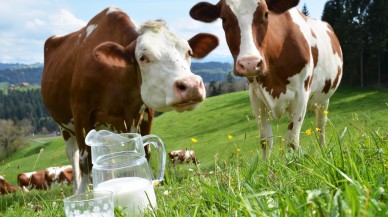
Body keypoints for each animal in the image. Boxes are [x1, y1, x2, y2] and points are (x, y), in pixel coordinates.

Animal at [42, 6, 218, 194]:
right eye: (142, 57)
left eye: (189, 52)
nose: (191, 85)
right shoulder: (81, 112)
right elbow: (85, 161)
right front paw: (84, 195)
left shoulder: (146, 112)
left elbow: (145, 152)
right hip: (65, 128)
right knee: (74, 158)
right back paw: (77, 189)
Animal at [191, 0, 342, 159]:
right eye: (224, 18)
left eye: (266, 14)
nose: (250, 63)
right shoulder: (255, 97)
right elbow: (265, 139)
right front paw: (267, 164)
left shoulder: (301, 94)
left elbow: (291, 140)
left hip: (324, 98)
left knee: (321, 125)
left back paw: (323, 149)